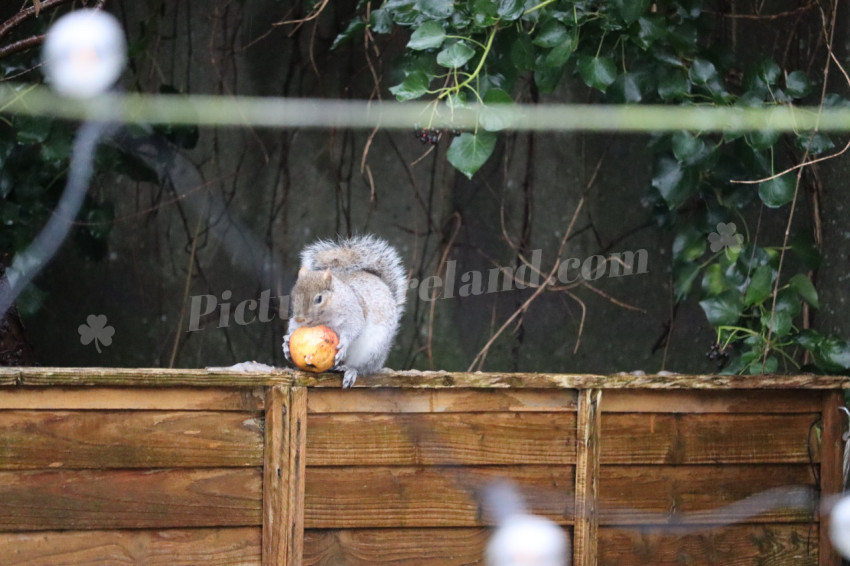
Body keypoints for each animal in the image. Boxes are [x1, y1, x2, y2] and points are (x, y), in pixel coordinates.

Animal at [282, 235, 407, 388]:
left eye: (319, 299)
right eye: (293, 295)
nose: (300, 319)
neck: (323, 319)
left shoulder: (352, 311)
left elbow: (354, 327)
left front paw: (343, 345)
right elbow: (293, 329)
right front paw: (286, 343)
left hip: (372, 351)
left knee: (362, 368)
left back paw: (350, 370)